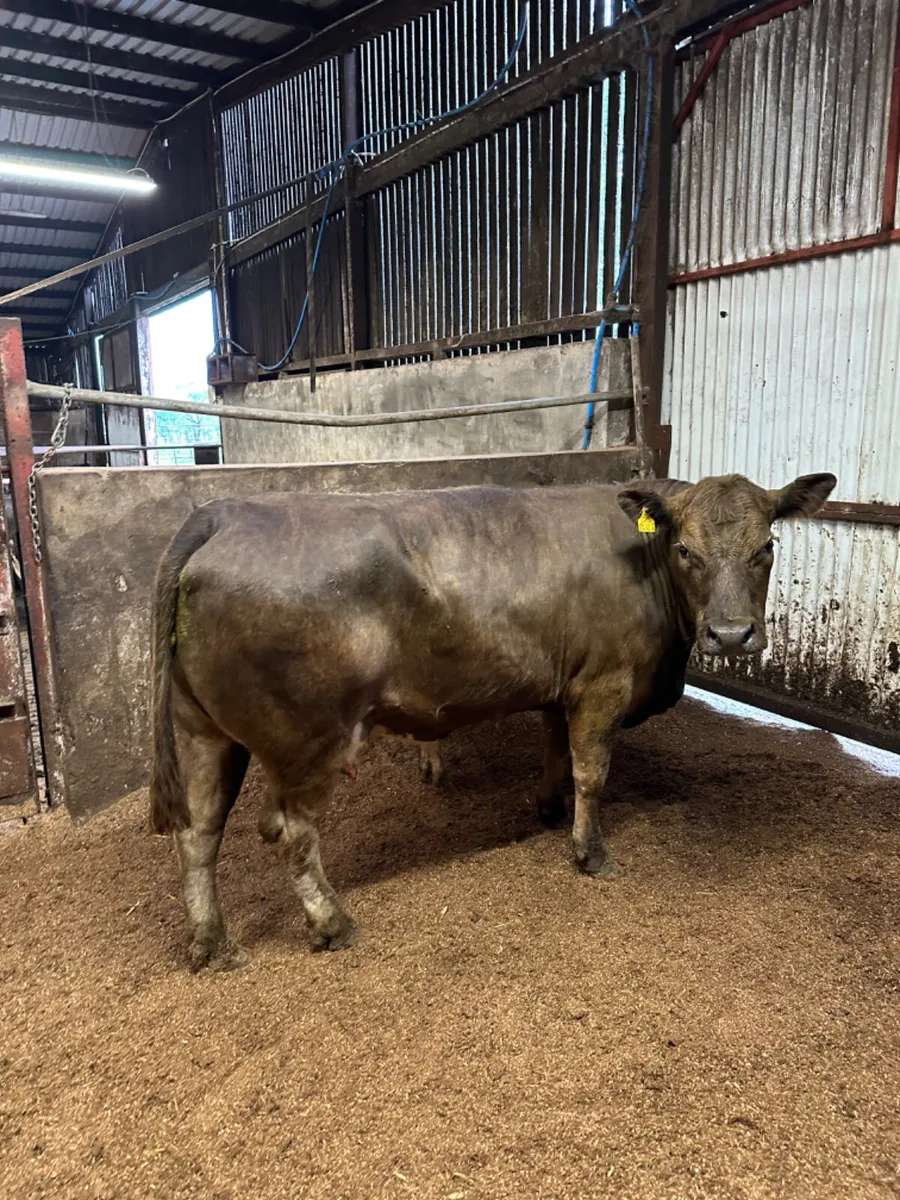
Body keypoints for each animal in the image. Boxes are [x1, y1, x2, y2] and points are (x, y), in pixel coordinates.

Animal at [150, 471, 835, 970]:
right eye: (685, 550)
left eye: (766, 547)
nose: (732, 634)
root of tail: (225, 513)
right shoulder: (604, 683)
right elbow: (592, 771)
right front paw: (590, 852)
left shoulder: (565, 685)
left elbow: (556, 751)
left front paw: (550, 809)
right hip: (309, 739)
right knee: (293, 833)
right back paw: (332, 923)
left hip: (202, 730)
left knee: (199, 830)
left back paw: (212, 943)